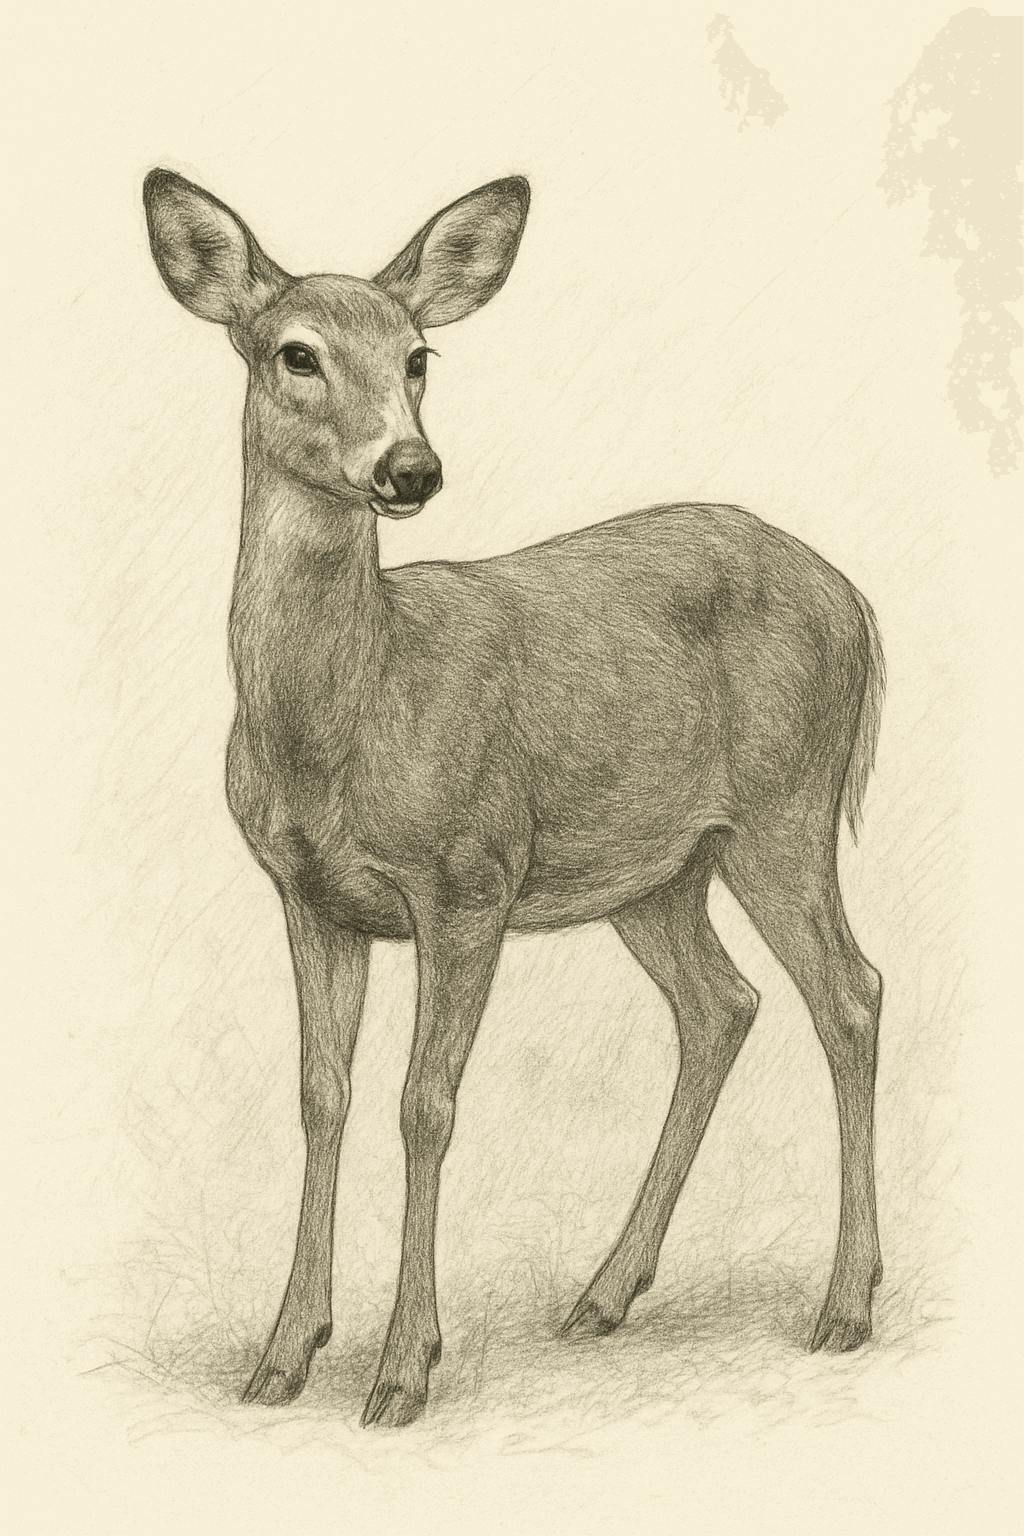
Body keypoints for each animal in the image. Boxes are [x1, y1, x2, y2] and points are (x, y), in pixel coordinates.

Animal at [143, 166, 886, 1429]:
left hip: (782, 808)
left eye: (417, 355)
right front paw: (284, 1356)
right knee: (722, 1004)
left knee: (850, 993)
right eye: (295, 353)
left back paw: (845, 1305)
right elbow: (322, 1094)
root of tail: (858, 603)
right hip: (655, 868)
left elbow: (424, 1103)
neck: (351, 715)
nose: (409, 470)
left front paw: (402, 1369)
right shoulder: (310, 895)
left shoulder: (468, 878)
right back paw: (605, 1293)